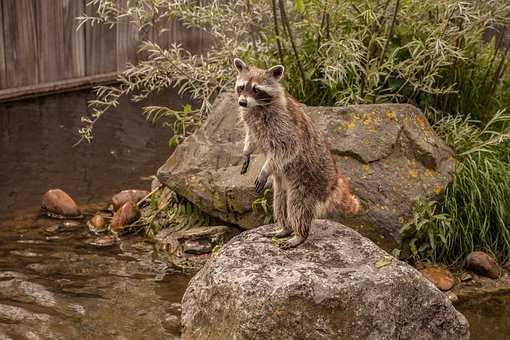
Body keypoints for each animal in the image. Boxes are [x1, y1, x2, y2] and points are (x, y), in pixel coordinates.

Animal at [233, 59, 360, 247]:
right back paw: (285, 228)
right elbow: (252, 138)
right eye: (241, 87)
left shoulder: (283, 124)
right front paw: (246, 152)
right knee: (279, 200)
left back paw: (300, 234)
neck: (257, 106)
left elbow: (287, 147)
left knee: (297, 205)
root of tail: (334, 181)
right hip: (283, 182)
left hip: (308, 181)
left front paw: (265, 169)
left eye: (256, 89)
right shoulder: (251, 121)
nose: (242, 102)